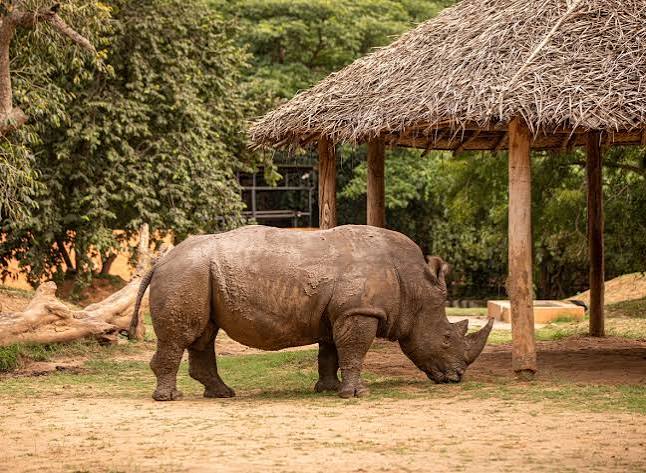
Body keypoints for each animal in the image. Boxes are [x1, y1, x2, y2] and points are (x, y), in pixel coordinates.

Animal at [130, 225, 493, 400]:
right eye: (446, 338)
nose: (457, 377)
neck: (413, 287)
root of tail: (160, 261)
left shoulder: (342, 313)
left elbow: (331, 352)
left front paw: (329, 389)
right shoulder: (359, 311)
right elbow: (354, 352)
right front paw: (356, 394)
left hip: (196, 273)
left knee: (203, 335)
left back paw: (222, 394)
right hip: (186, 273)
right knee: (183, 336)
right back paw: (169, 398)